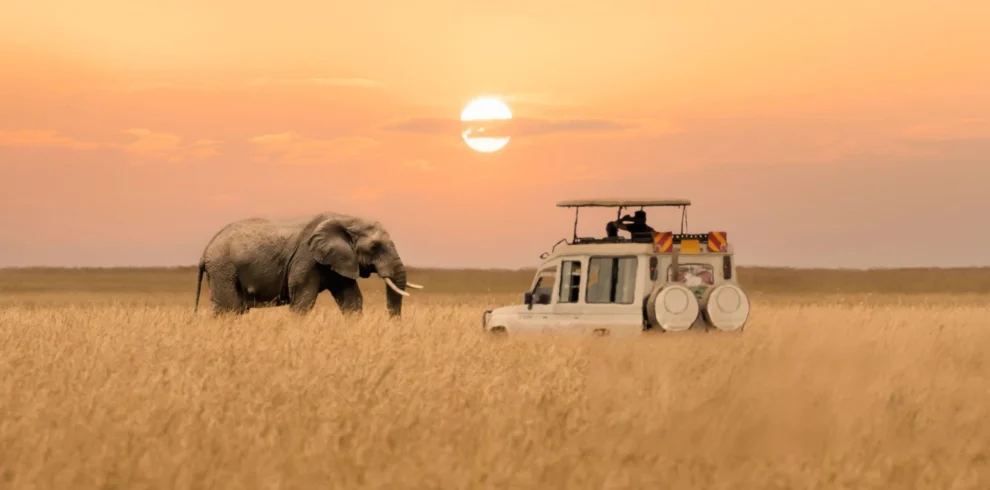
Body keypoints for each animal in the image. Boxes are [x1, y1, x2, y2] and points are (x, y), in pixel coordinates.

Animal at [193, 212, 423, 317]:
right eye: (375, 247)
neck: (345, 219)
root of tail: (205, 250)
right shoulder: (306, 259)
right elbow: (303, 301)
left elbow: (352, 300)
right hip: (223, 269)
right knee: (227, 309)